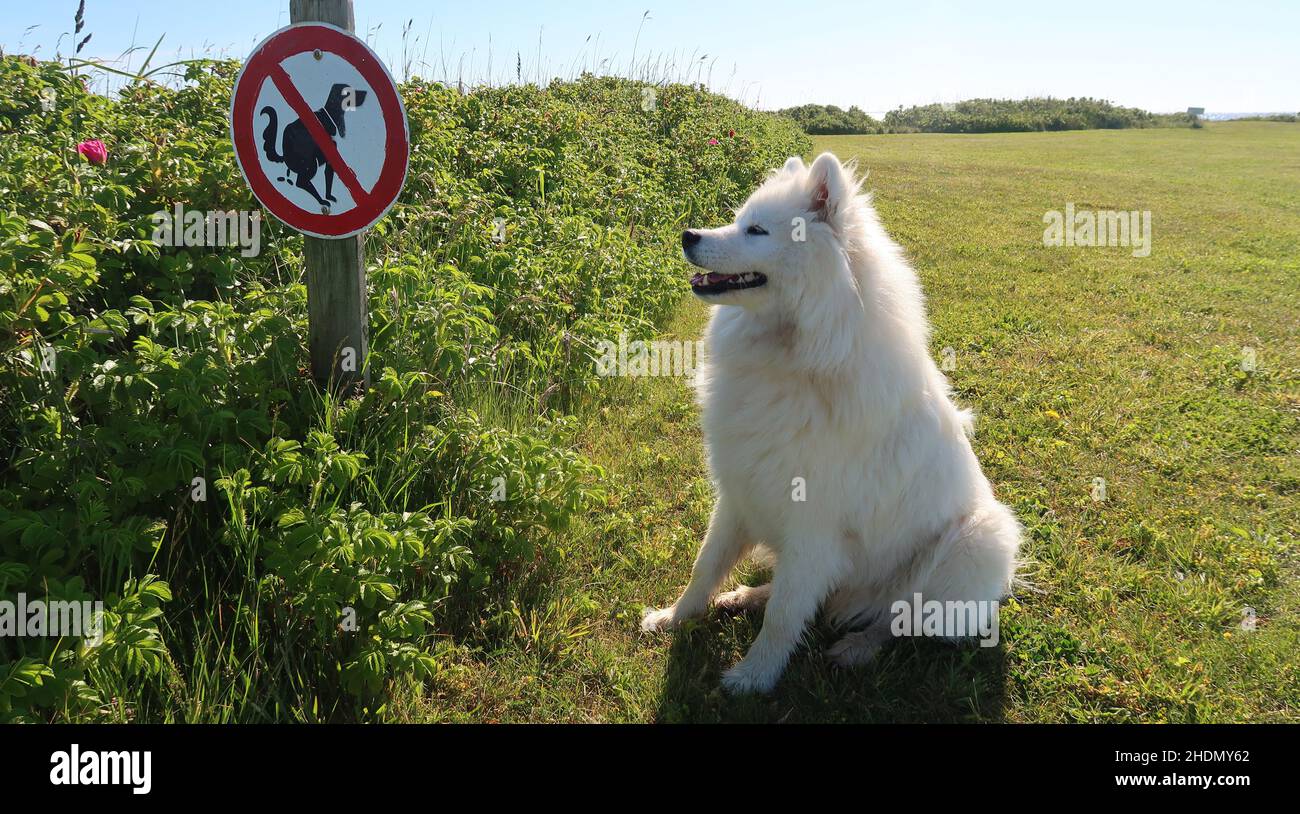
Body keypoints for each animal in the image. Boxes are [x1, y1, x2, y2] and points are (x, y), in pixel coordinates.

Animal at [644, 152, 1019, 691]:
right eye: (738, 220)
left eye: (756, 230)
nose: (687, 235)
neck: (794, 358)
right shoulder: (740, 494)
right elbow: (706, 567)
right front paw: (674, 619)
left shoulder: (814, 527)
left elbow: (785, 616)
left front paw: (753, 679)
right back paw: (745, 596)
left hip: (978, 541)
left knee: (896, 617)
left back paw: (855, 647)